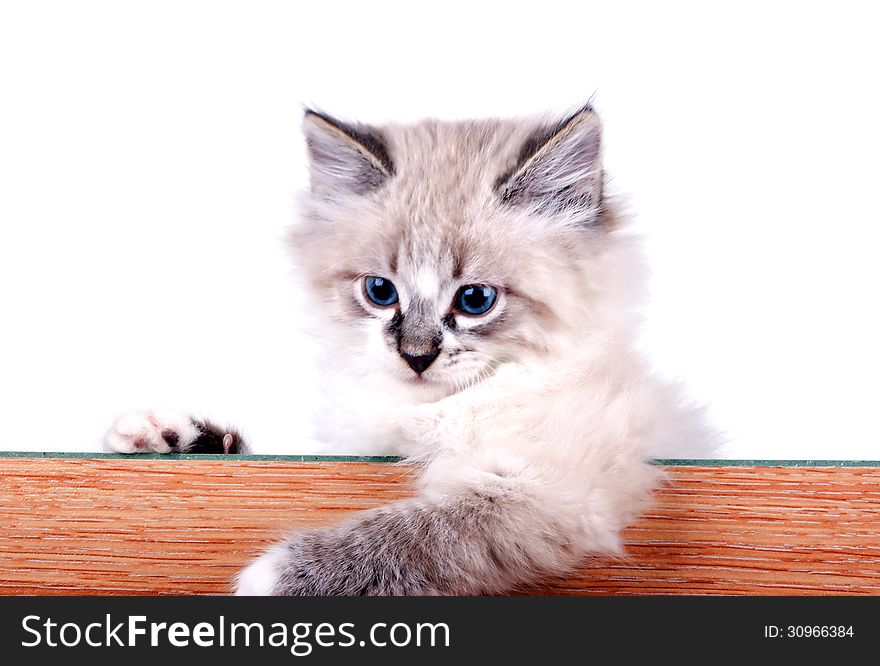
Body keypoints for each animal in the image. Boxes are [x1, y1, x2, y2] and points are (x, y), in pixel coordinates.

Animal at [108, 105, 716, 596]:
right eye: (380, 292)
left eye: (475, 300)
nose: (416, 357)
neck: (431, 411)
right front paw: (169, 435)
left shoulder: (541, 490)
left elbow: (416, 530)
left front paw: (272, 576)